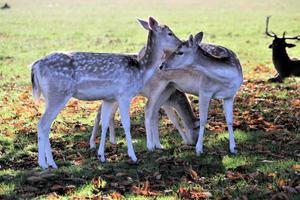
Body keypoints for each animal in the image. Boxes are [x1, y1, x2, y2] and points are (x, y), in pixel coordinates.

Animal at [30, 16, 180, 169]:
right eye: (170, 33)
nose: (180, 44)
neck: (141, 71)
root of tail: (35, 66)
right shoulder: (124, 94)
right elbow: (126, 124)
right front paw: (133, 156)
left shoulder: (109, 98)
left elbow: (105, 123)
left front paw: (102, 156)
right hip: (58, 93)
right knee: (42, 124)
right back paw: (44, 164)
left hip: (49, 96)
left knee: (46, 125)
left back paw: (50, 163)